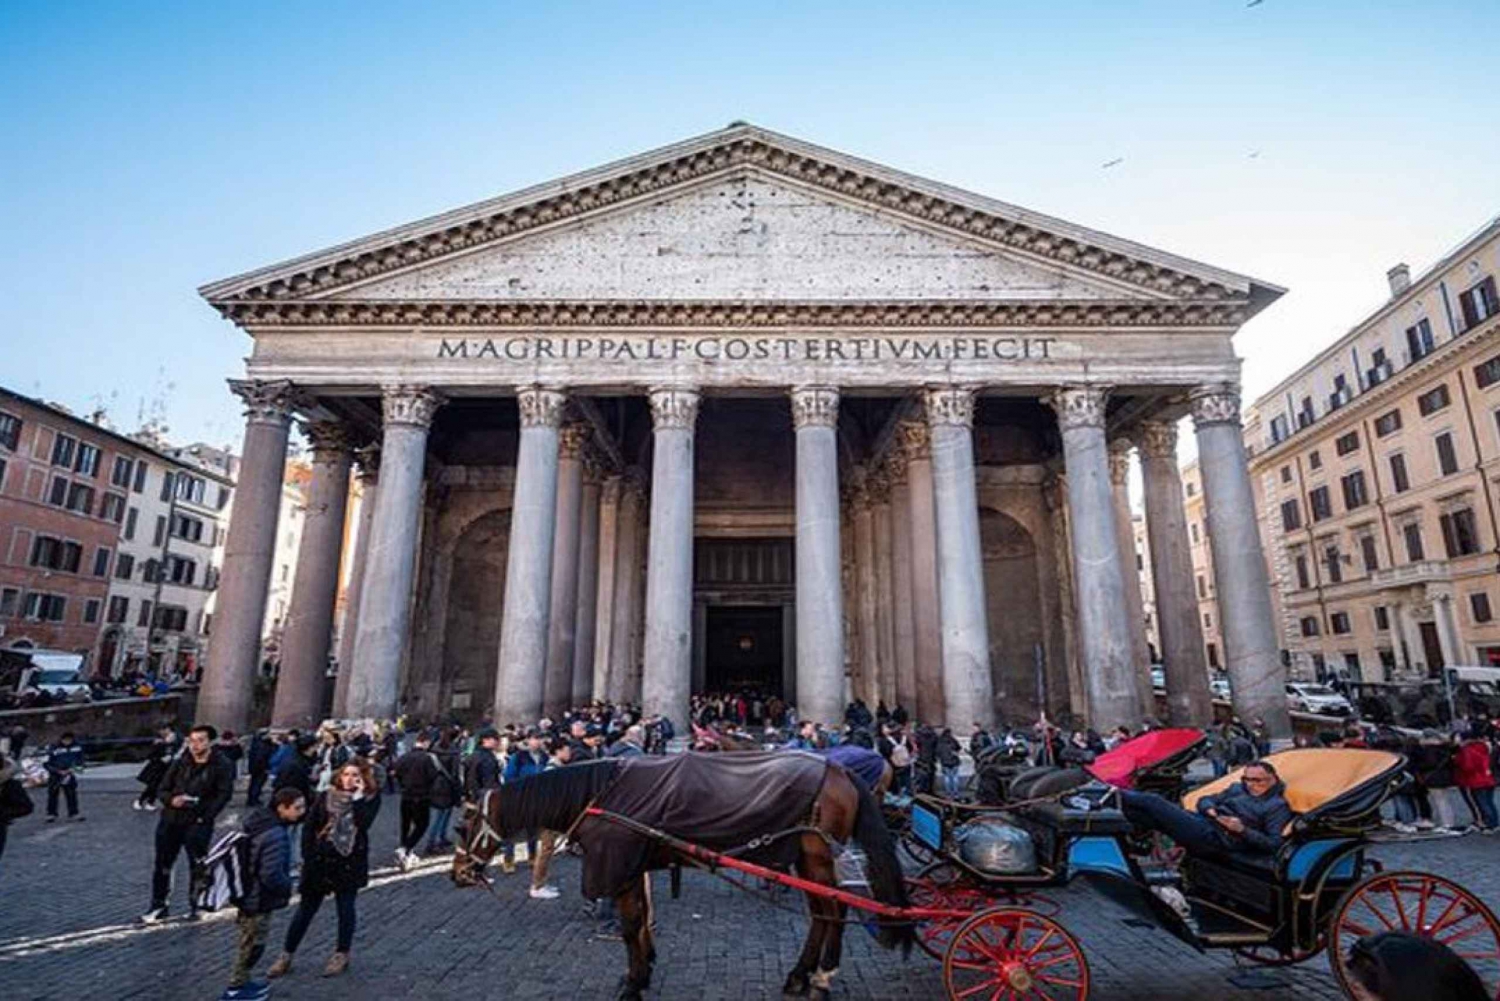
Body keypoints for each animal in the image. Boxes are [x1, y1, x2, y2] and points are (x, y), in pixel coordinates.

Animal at [447, 756, 912, 996]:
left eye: (463, 826)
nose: (458, 875)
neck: (601, 793)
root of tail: (840, 770)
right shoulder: (634, 864)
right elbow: (640, 920)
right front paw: (643, 970)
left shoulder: (619, 863)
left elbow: (630, 924)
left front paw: (633, 984)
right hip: (805, 856)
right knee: (821, 911)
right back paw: (799, 975)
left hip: (817, 853)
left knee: (834, 908)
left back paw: (822, 976)